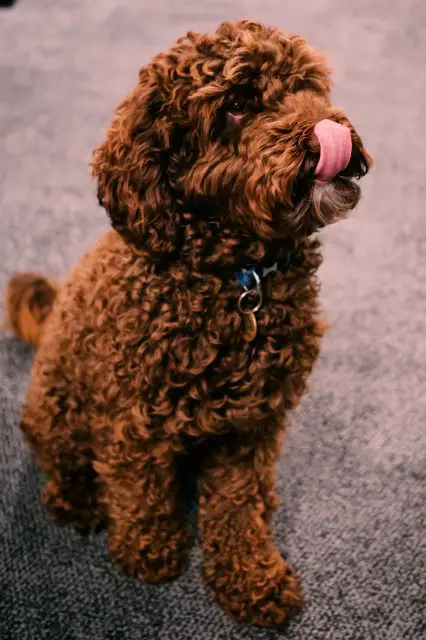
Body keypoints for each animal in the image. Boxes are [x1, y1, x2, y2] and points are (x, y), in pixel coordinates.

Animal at [4, 21, 370, 632]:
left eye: (309, 87)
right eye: (239, 104)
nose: (332, 135)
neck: (240, 278)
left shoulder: (251, 425)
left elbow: (234, 505)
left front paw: (250, 576)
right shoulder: (134, 416)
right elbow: (141, 487)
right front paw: (149, 551)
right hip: (57, 406)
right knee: (61, 456)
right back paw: (77, 499)